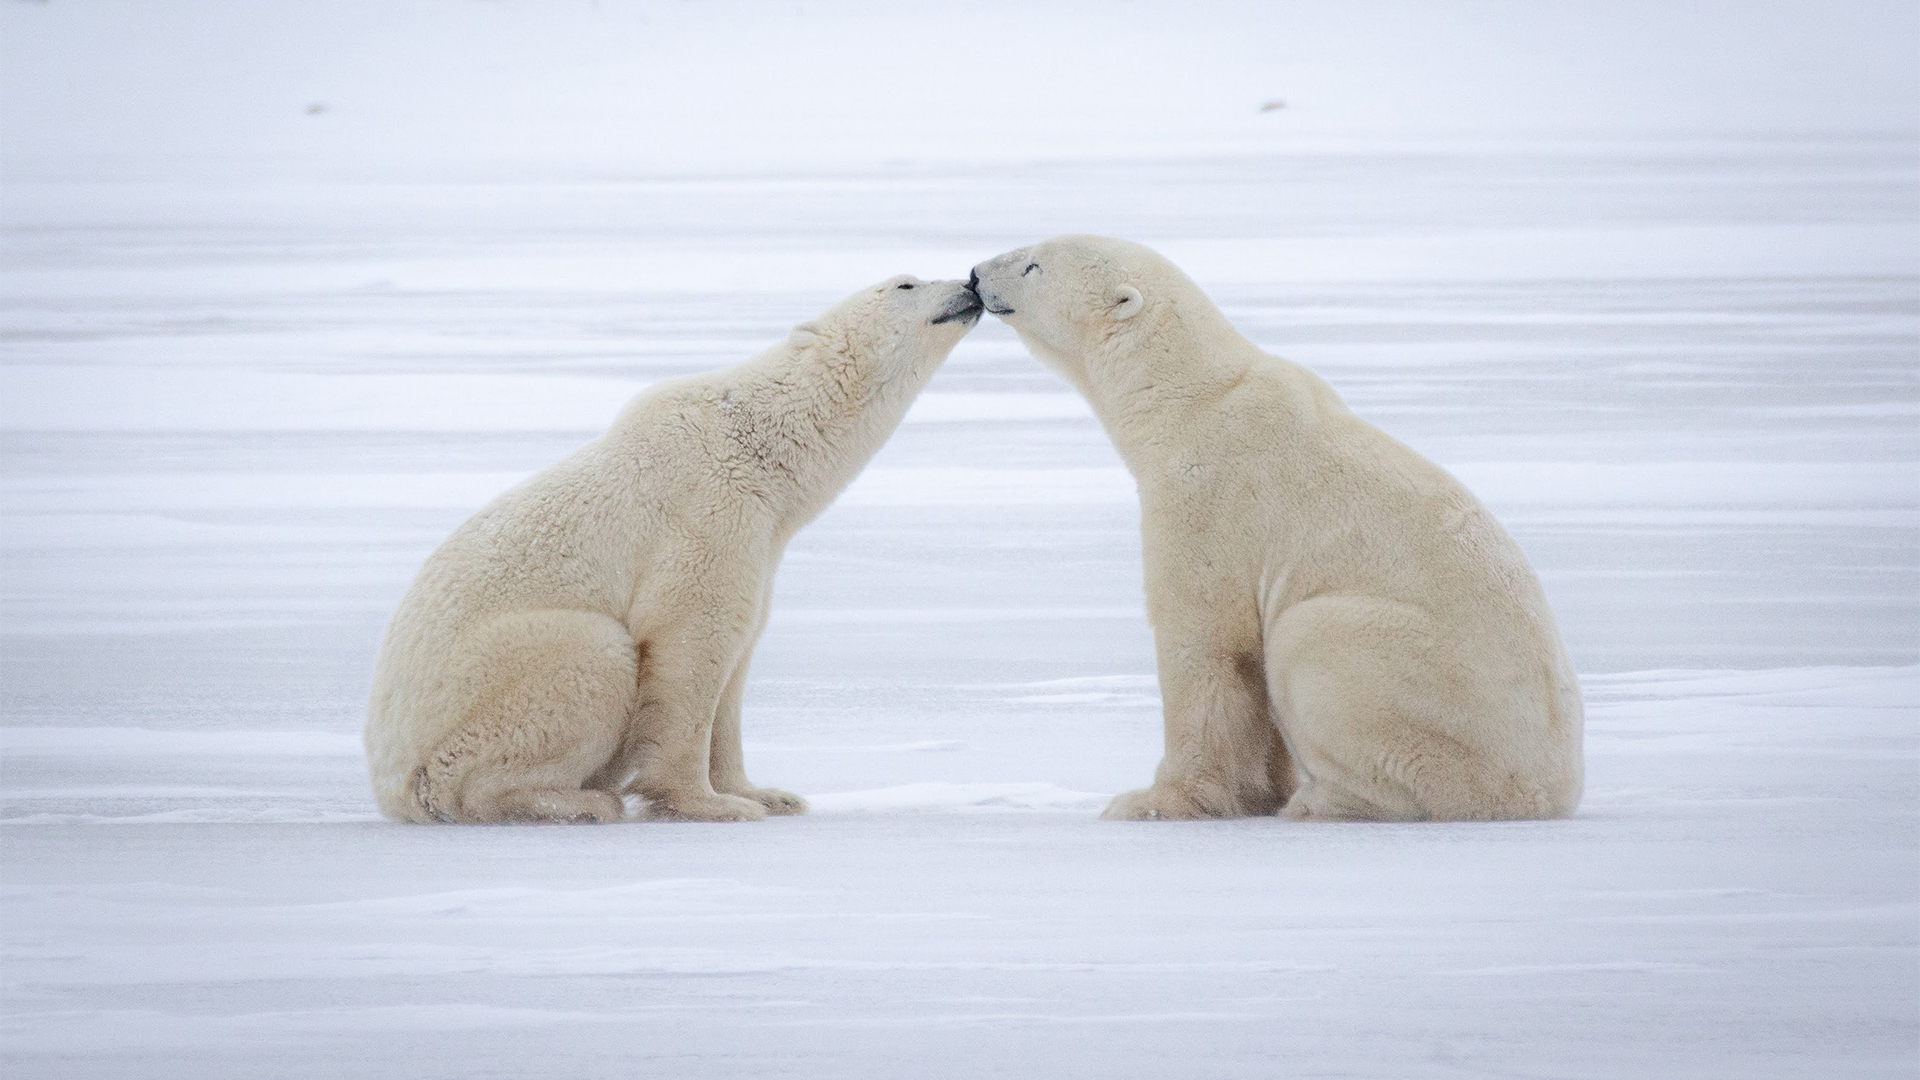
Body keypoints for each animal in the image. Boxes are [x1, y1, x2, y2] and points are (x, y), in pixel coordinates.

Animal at [364, 275, 983, 823]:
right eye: (905, 284)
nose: (970, 284)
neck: (760, 448)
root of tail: (391, 785)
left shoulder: (761, 541)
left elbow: (739, 651)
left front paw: (766, 794)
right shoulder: (705, 512)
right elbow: (691, 641)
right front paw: (708, 803)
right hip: (479, 693)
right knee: (589, 658)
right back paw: (579, 802)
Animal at [970, 236, 1583, 821]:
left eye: (1033, 265)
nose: (975, 275)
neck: (1189, 399)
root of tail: (1550, 795)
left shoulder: (1208, 497)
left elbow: (1208, 643)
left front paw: (1153, 801)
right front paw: (1258, 788)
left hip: (1439, 692)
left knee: (1310, 640)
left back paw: (1325, 801)